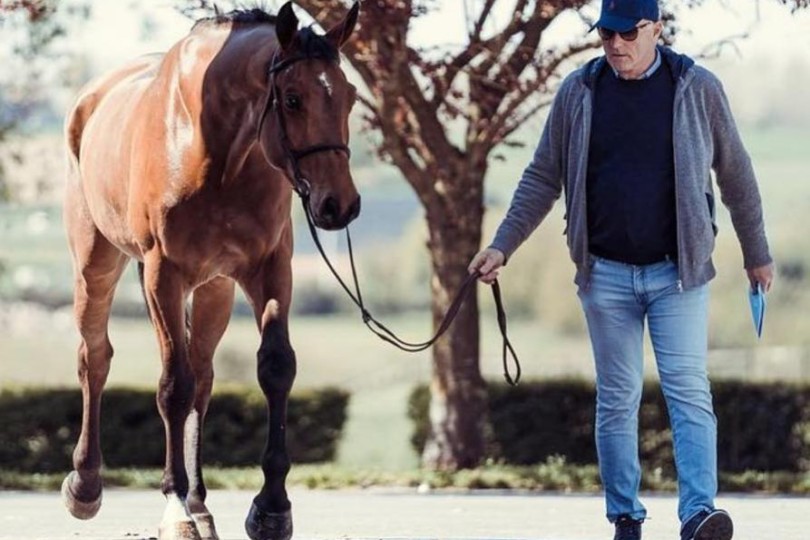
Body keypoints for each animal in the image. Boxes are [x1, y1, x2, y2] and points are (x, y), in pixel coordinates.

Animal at [60, 2, 360, 539]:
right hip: (95, 264)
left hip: (215, 289)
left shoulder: (268, 270)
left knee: (202, 375)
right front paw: (175, 507)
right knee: (95, 358)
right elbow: (171, 387)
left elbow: (274, 368)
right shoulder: (164, 274)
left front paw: (271, 508)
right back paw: (87, 485)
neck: (212, 147)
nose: (339, 205)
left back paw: (201, 503)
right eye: (292, 98)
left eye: (349, 97)